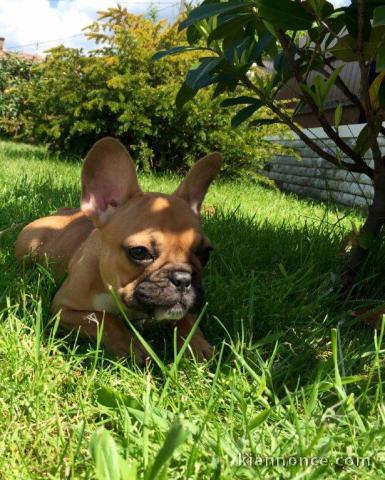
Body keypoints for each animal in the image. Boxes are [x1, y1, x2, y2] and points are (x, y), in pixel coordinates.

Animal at [15, 139, 222, 364]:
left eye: (205, 253)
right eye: (139, 252)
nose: (184, 279)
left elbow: (187, 320)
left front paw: (197, 346)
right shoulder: (64, 308)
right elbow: (105, 320)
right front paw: (133, 347)